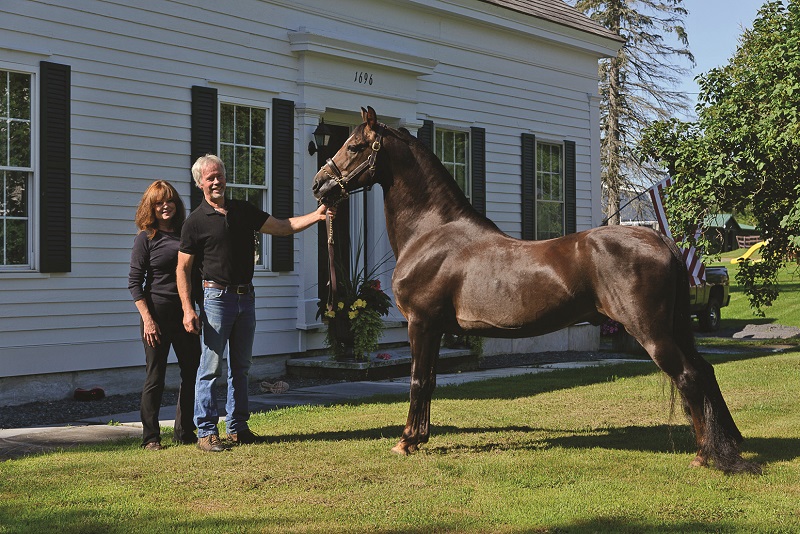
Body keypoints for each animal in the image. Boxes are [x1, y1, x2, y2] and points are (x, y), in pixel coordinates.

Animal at [310, 107, 756, 476]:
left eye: (354, 146)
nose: (319, 185)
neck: (433, 234)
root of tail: (661, 241)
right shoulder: (435, 328)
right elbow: (431, 380)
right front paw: (419, 437)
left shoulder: (421, 323)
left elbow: (418, 380)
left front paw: (406, 441)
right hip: (675, 327)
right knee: (705, 371)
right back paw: (729, 442)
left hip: (652, 332)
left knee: (689, 377)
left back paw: (706, 455)